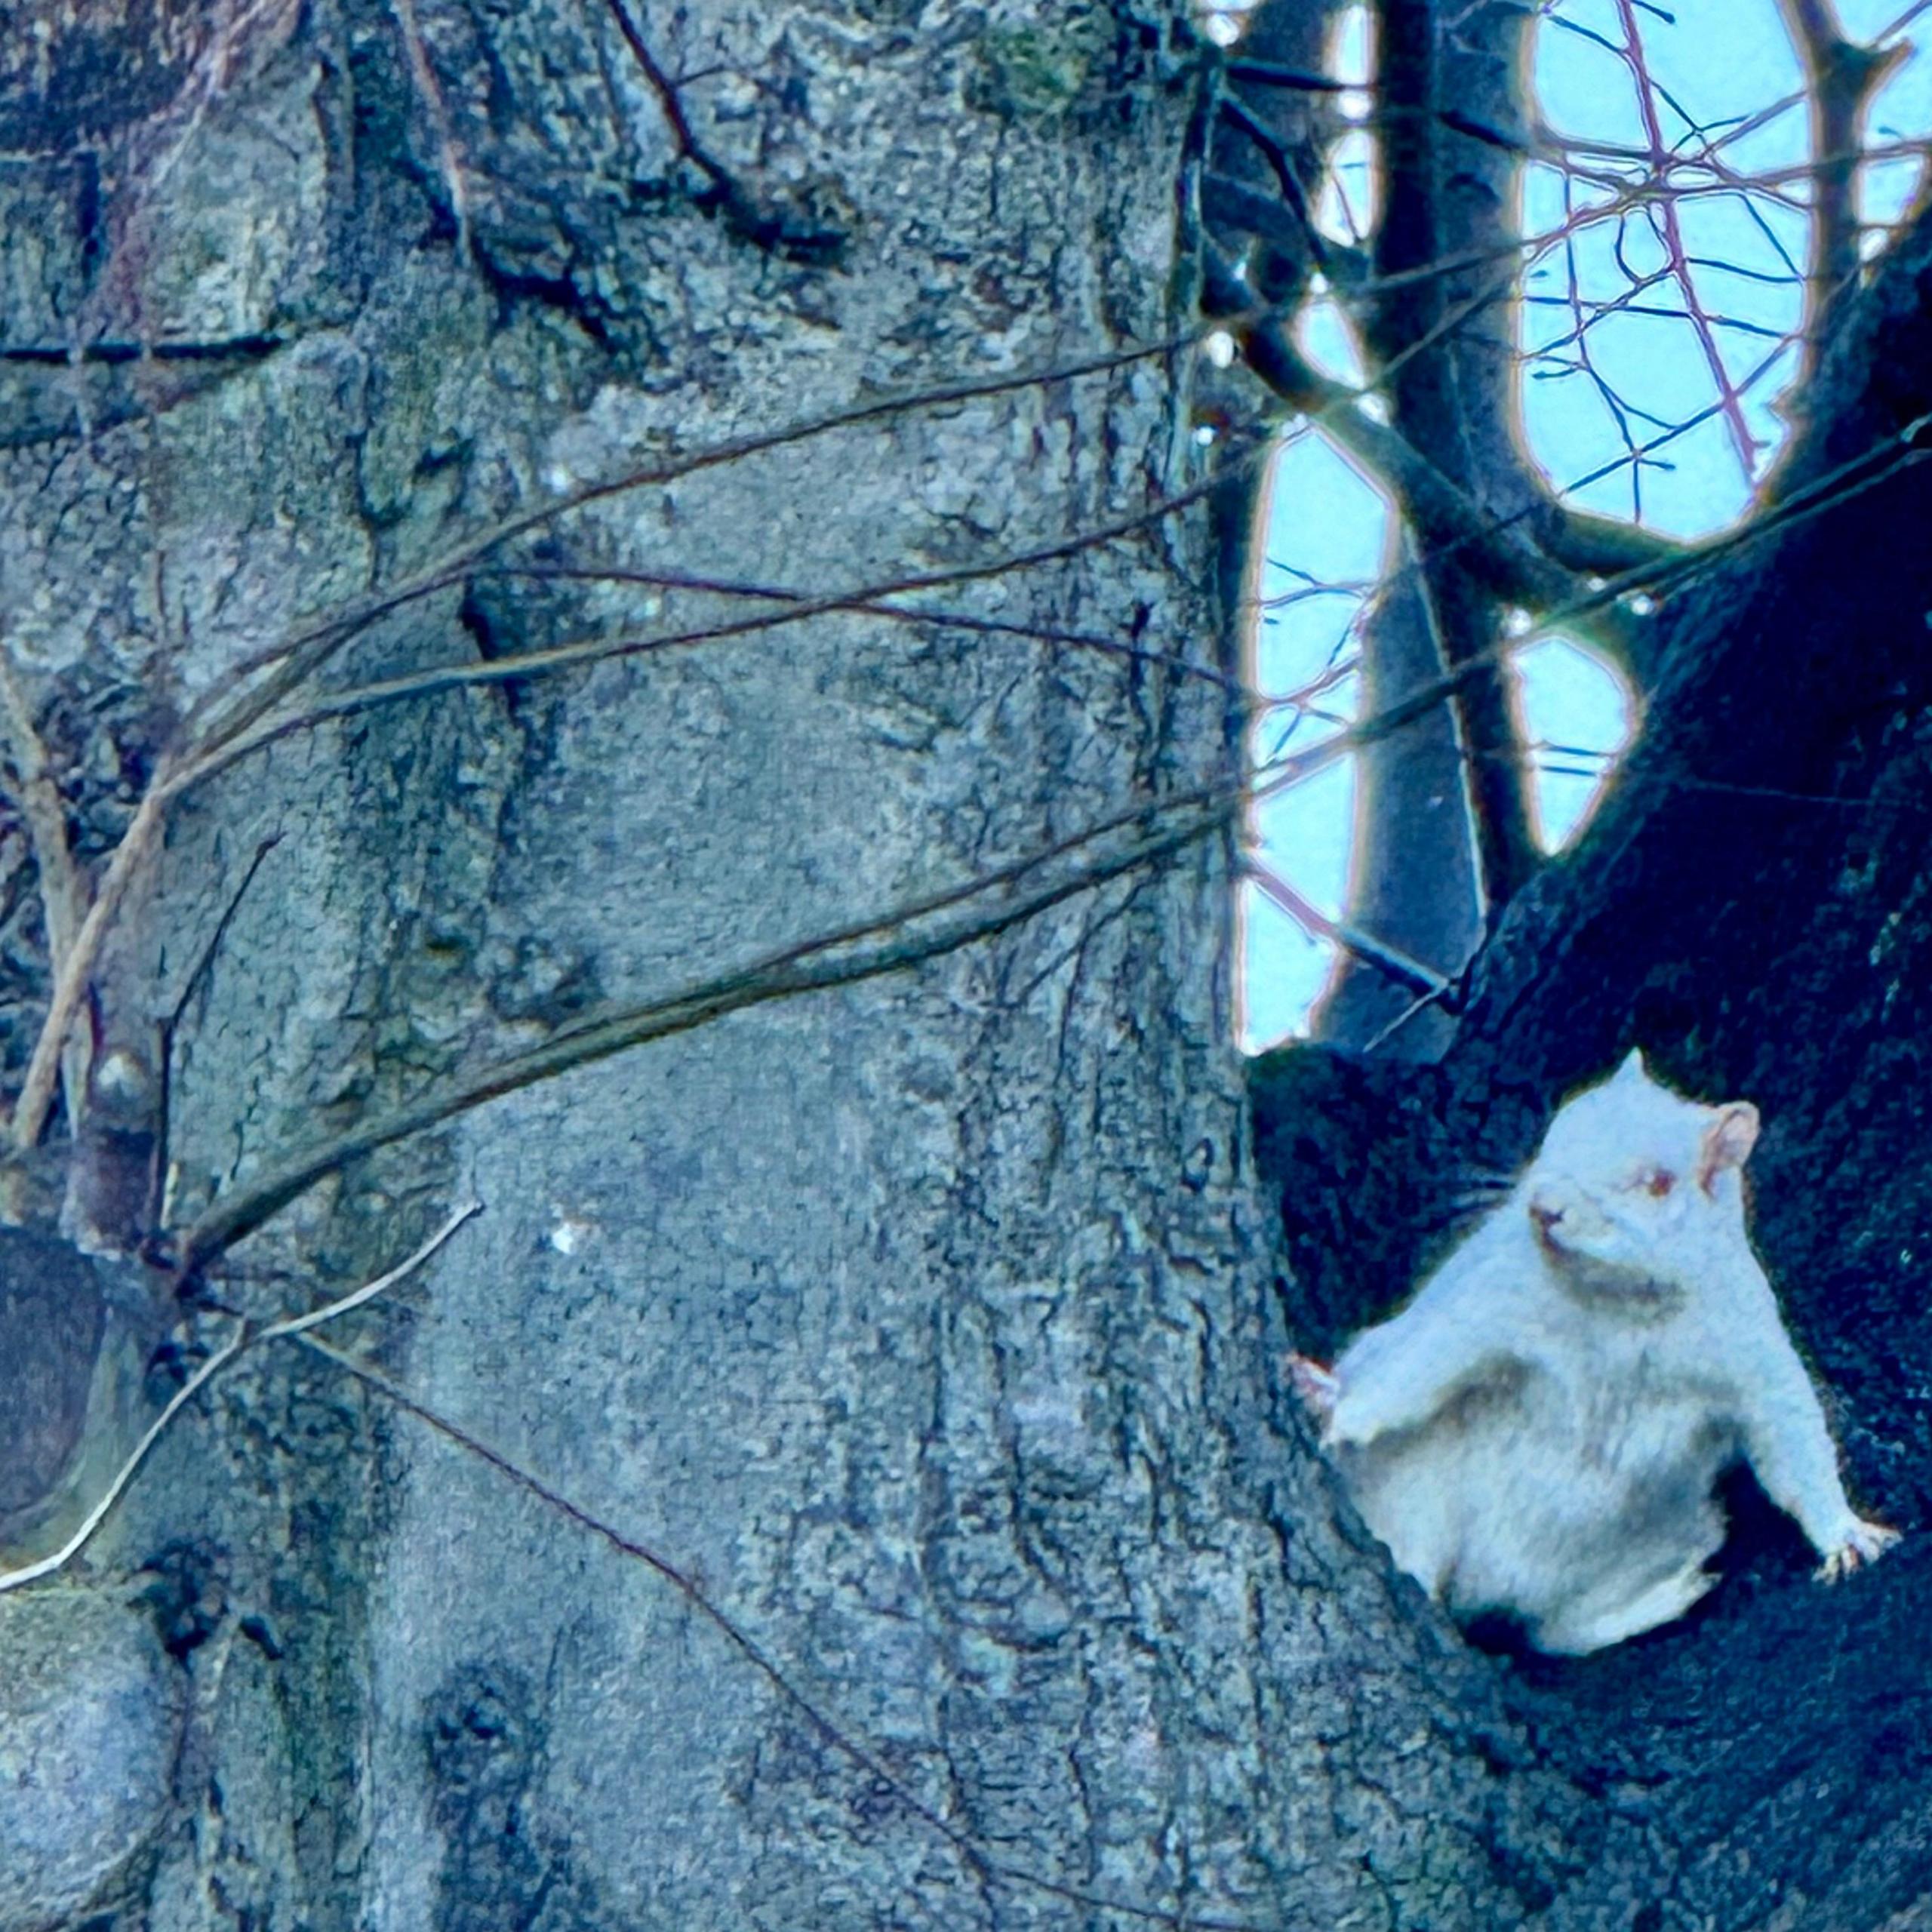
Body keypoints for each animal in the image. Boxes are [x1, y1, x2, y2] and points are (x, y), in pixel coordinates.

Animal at [1291, 1051, 1893, 1654]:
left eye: (1658, 1183)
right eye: (1560, 1125)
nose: (1545, 1209)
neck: (1619, 1305)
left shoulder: (1750, 1347)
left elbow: (1792, 1439)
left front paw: (1847, 1535)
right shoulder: (1491, 1304)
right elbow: (1423, 1362)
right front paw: (1343, 1411)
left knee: (1555, 1632)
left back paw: (1666, 1596)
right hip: (1414, 1487)